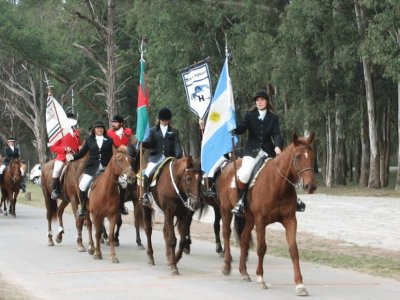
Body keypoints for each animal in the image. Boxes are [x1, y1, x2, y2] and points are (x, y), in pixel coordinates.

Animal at [217, 133, 318, 296]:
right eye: (297, 157)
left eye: (312, 156)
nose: (311, 186)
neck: (278, 185)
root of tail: (228, 167)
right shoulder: (261, 221)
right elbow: (261, 248)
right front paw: (260, 278)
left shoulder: (290, 220)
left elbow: (293, 250)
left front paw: (300, 285)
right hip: (226, 210)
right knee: (226, 233)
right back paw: (227, 266)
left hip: (249, 218)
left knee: (244, 239)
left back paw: (244, 272)